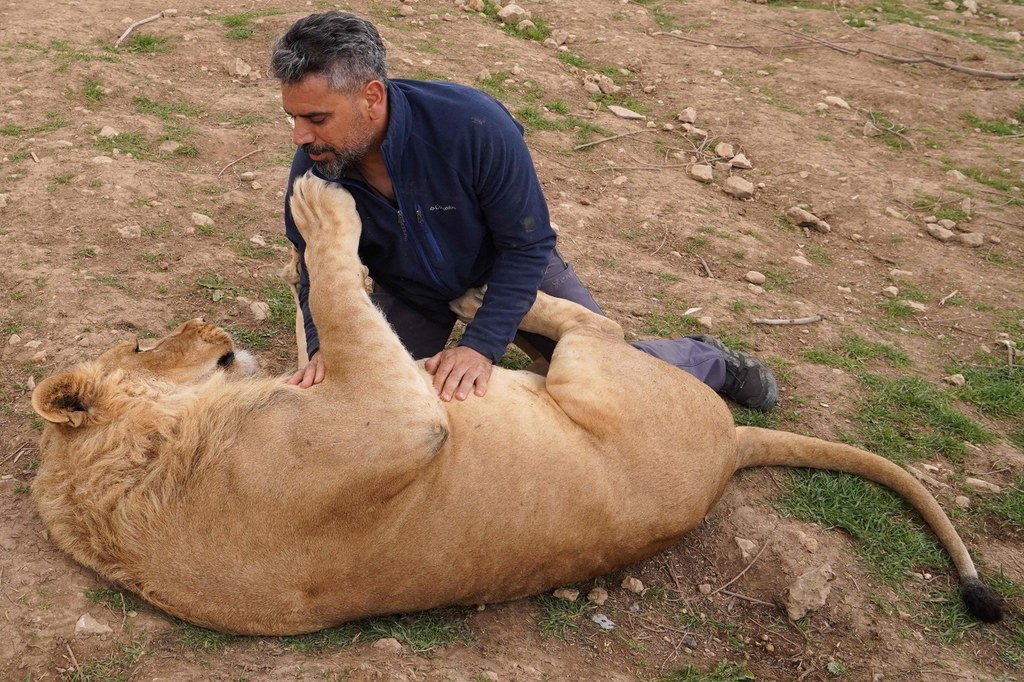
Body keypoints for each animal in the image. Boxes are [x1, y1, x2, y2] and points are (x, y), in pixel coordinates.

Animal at [29, 173, 999, 634]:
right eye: (139, 345)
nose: (206, 322)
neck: (148, 466)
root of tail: (732, 444)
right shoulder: (397, 420)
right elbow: (340, 299)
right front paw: (319, 206)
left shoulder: (352, 388)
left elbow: (326, 320)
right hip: (591, 376)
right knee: (595, 321)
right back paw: (476, 293)